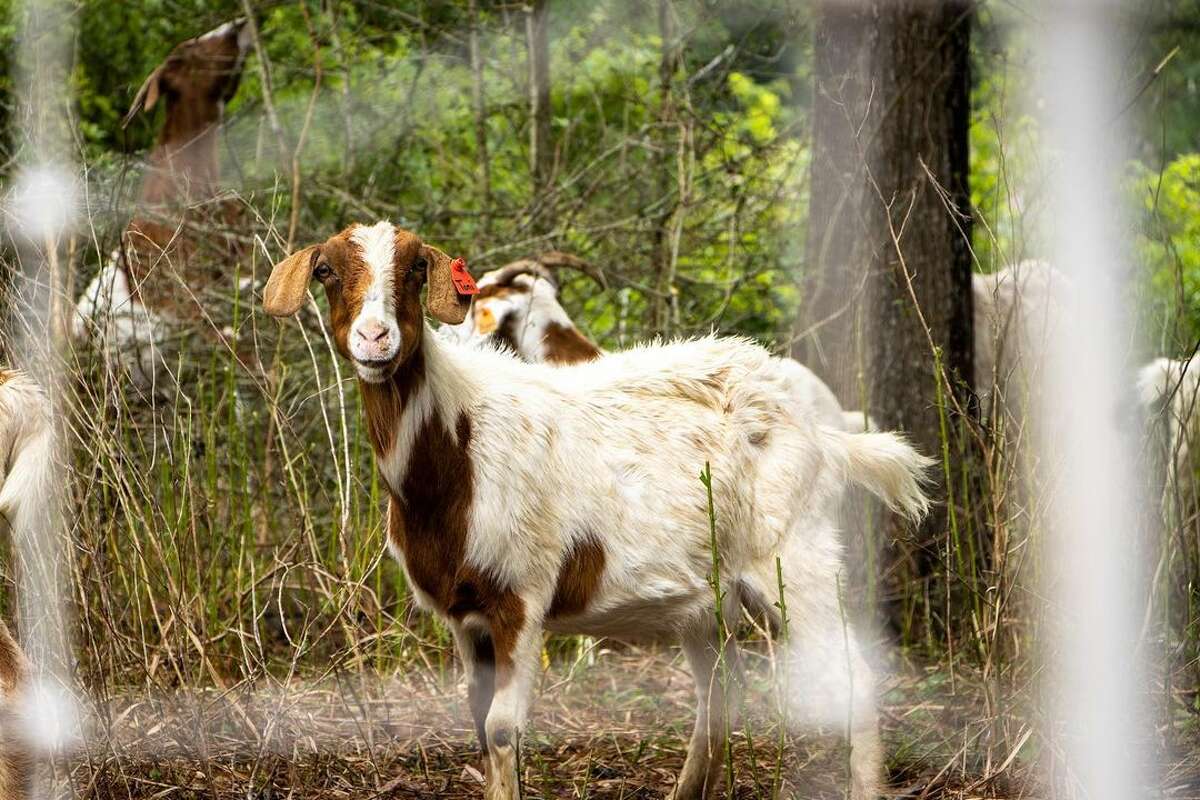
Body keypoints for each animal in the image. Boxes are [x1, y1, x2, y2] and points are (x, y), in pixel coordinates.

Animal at [265, 220, 936, 800]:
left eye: (415, 268)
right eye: (326, 271)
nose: (375, 340)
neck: (459, 445)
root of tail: (826, 433)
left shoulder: (522, 597)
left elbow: (503, 727)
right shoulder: (462, 612)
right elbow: (478, 722)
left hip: (796, 558)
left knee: (852, 676)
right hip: (708, 598)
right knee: (720, 691)